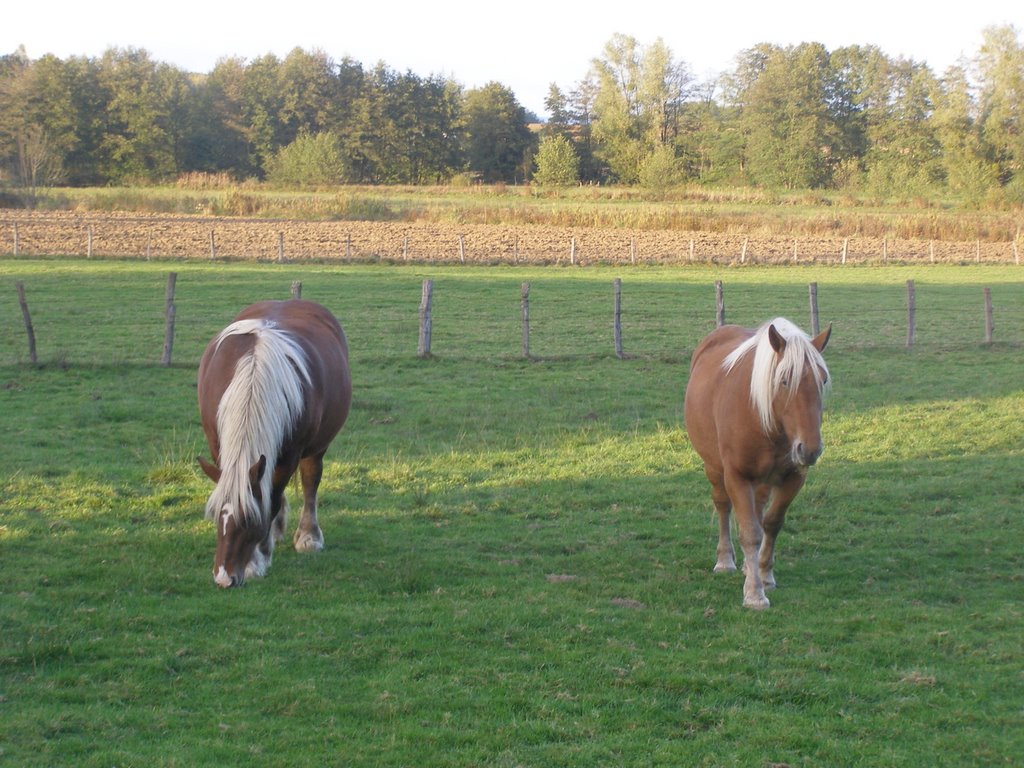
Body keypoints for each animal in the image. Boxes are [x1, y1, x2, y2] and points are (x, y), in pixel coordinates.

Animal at [197, 301, 354, 589]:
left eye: (250, 519)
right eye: (215, 516)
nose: (224, 578)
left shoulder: (289, 456)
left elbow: (271, 501)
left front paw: (257, 559)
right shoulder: (218, 449)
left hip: (316, 447)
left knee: (310, 480)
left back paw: (308, 536)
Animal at [684, 317, 827, 606]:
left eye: (823, 380)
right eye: (784, 381)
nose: (810, 450)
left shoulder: (794, 477)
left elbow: (771, 524)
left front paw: (764, 575)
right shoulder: (737, 476)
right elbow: (750, 532)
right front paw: (754, 593)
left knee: (759, 510)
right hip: (714, 468)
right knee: (723, 506)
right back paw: (725, 561)